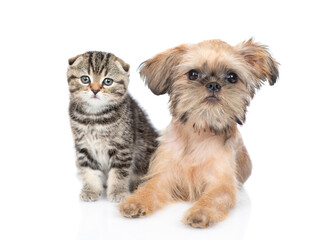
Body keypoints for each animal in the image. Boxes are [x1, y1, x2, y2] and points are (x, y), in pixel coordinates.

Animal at [66, 51, 158, 202]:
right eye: (85, 79)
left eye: (107, 81)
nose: (95, 90)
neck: (94, 117)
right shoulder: (84, 147)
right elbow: (89, 169)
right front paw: (91, 189)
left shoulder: (122, 148)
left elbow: (119, 172)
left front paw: (118, 191)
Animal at [119, 38, 278, 228]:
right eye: (193, 74)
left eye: (232, 77)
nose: (214, 84)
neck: (199, 132)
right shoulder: (163, 175)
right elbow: (149, 188)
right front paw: (135, 202)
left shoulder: (221, 184)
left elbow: (213, 198)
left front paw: (200, 213)